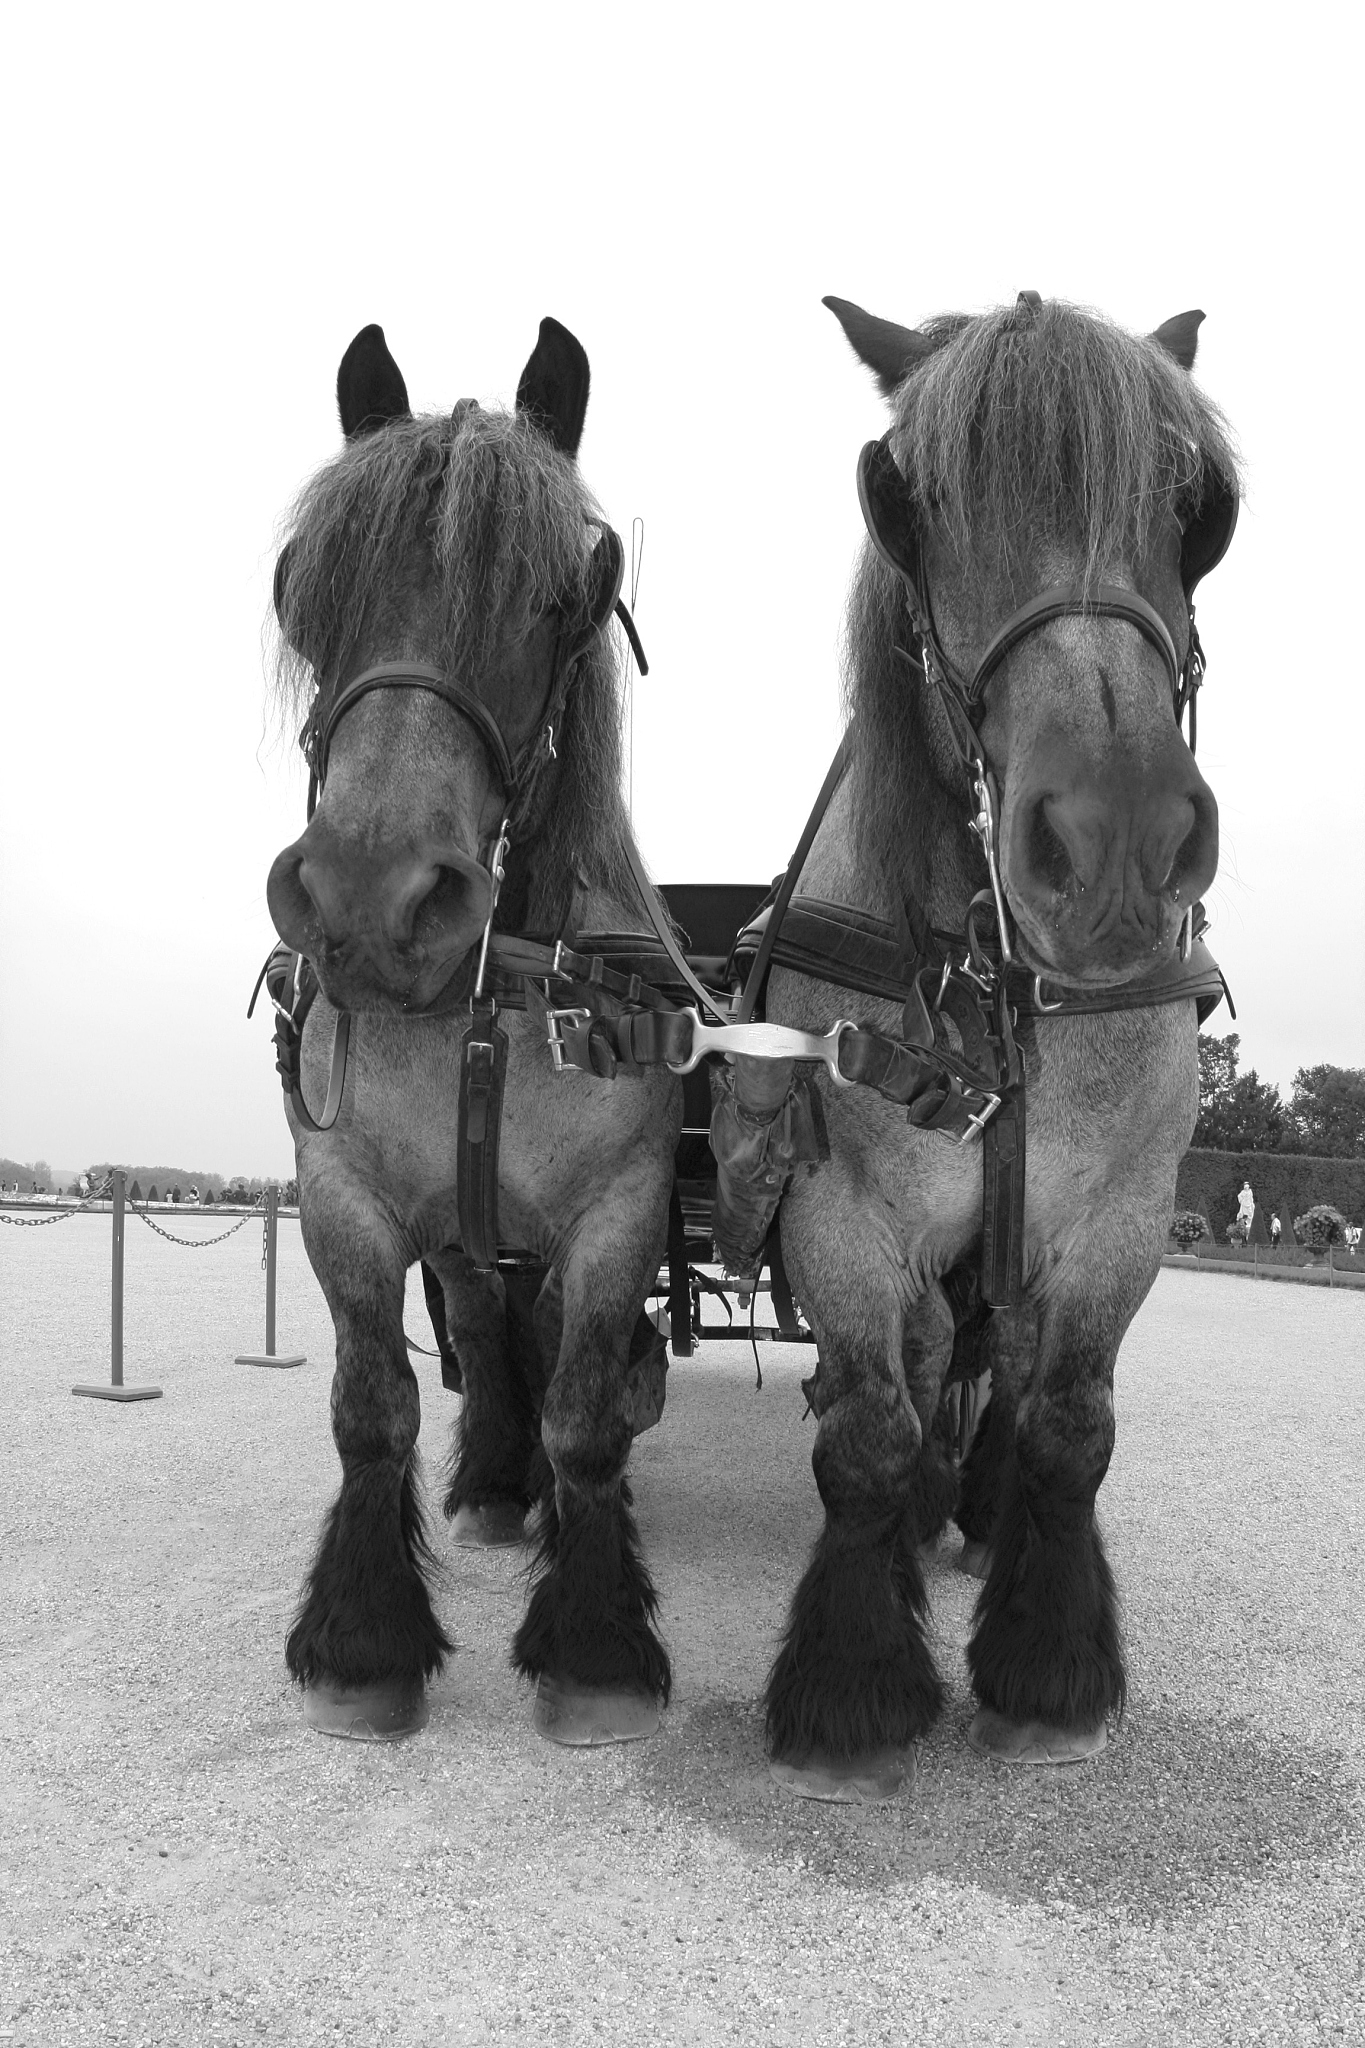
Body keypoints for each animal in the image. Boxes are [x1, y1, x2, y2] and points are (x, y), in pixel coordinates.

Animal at [265, 317, 680, 1742]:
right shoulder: (341, 1188)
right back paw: (499, 1485)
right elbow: (370, 1406)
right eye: (303, 590)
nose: (370, 899)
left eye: (564, 595)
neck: (486, 998)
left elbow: (589, 1408)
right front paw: (363, 1636)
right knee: (490, 1325)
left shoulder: (620, 1206)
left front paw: (598, 1643)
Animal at [754, 292, 1239, 1795]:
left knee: (1004, 1379)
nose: (1117, 845)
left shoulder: (1121, 1212)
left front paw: (1047, 1667)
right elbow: (868, 1424)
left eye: (1196, 507)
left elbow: (1068, 1421)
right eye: (908, 499)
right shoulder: (842, 1207)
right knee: (926, 1370)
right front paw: (855, 1685)